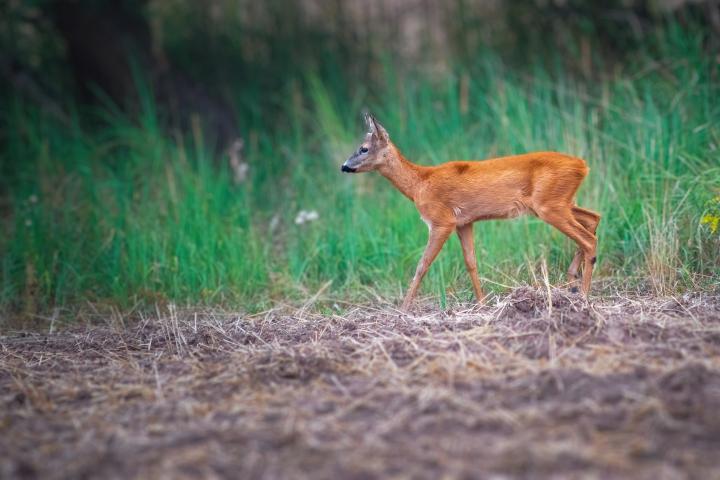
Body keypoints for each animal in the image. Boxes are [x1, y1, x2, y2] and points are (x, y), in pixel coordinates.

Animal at [341, 113, 601, 311]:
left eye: (364, 149)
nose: (344, 166)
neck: (419, 184)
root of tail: (583, 166)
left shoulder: (441, 220)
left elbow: (422, 265)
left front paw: (403, 309)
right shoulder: (464, 222)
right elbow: (471, 262)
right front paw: (482, 303)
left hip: (549, 205)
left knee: (589, 238)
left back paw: (583, 296)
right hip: (560, 203)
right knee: (593, 218)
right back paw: (571, 282)